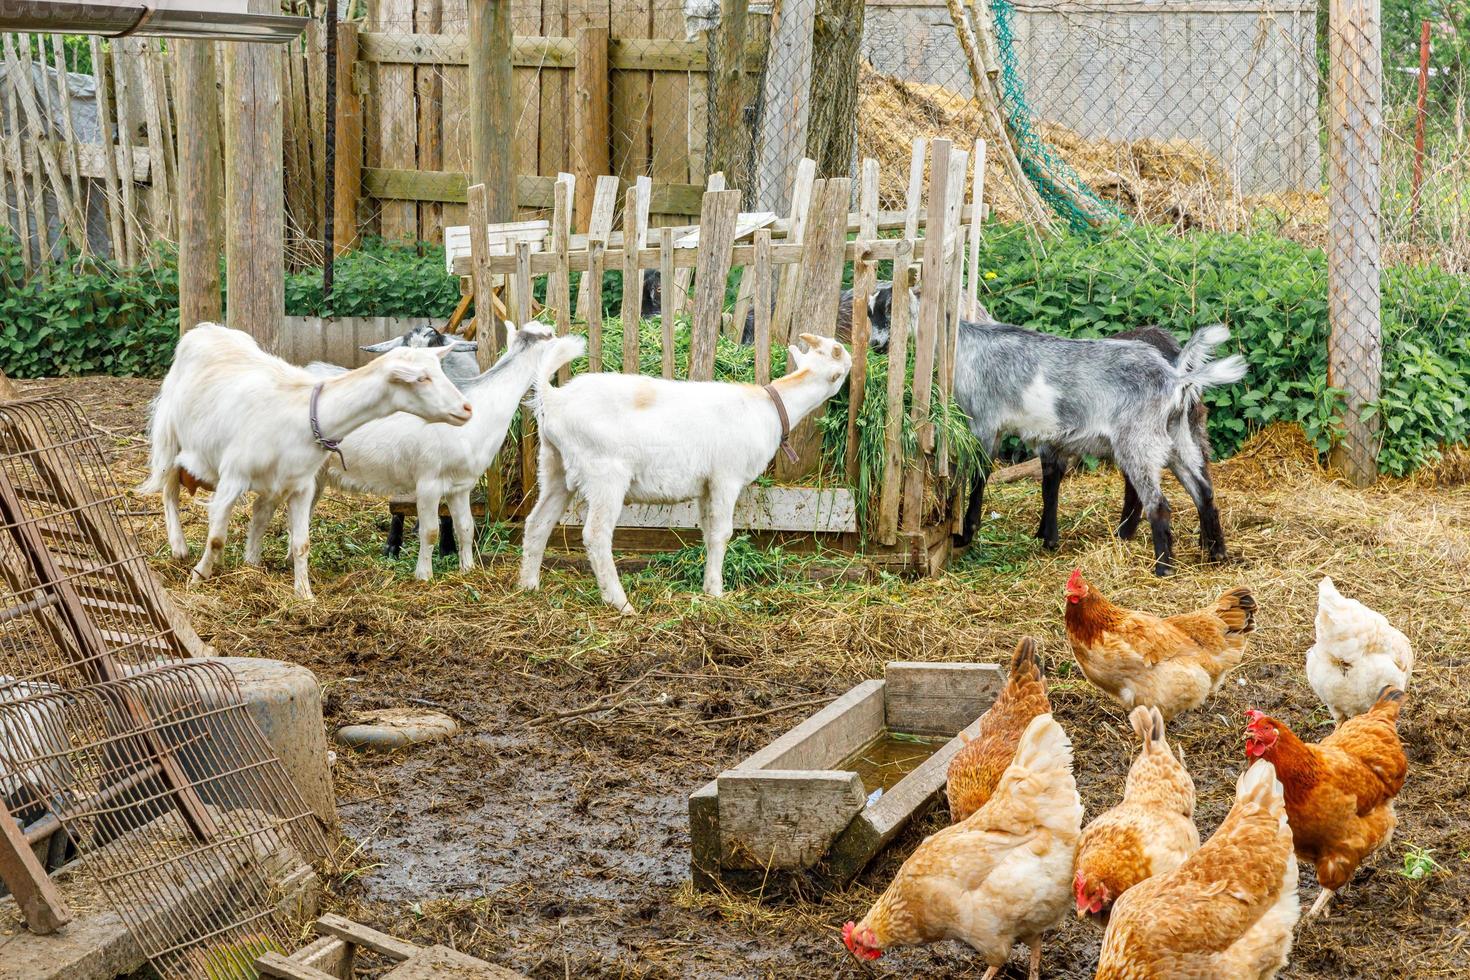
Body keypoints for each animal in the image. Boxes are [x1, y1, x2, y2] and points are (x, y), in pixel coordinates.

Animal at [140, 323, 467, 599]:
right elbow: (217, 537)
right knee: (168, 490)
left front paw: (305, 594)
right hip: (170, 438)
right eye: (421, 378)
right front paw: (197, 577)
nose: (466, 408)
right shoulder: (233, 477)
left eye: (440, 370)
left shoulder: (301, 486)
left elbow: (302, 542)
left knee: (258, 513)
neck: (301, 414)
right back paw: (179, 548)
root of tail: (204, 329)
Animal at [258, 321, 555, 581]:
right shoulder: (429, 481)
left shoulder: (460, 486)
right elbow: (430, 531)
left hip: (315, 474)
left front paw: (467, 569)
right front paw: (424, 576)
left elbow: (465, 528)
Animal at [526, 334, 858, 614]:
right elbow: (723, 533)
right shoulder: (726, 477)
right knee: (596, 535)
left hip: (553, 466)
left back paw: (529, 586)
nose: (851, 361)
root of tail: (553, 399)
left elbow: (709, 533)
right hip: (605, 475)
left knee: (537, 522)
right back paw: (621, 603)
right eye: (839, 367)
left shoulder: (706, 485)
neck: (769, 409)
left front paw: (708, 586)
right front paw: (717, 592)